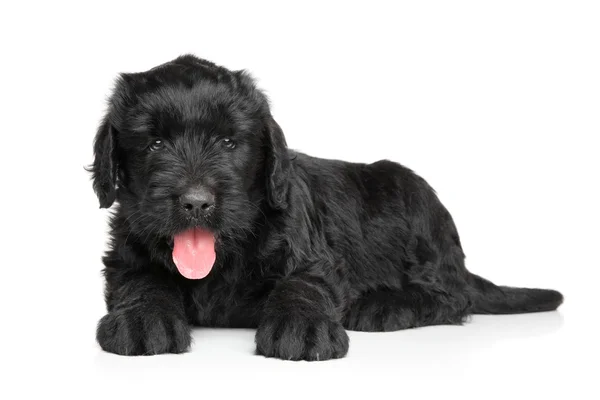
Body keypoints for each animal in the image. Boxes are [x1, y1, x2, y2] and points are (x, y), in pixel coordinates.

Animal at [89, 55, 564, 360]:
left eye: (228, 142)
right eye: (154, 143)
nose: (196, 202)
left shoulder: (310, 253)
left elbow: (303, 284)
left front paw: (302, 328)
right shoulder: (126, 254)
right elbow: (141, 281)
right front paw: (141, 321)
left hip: (415, 199)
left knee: (453, 295)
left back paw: (382, 307)